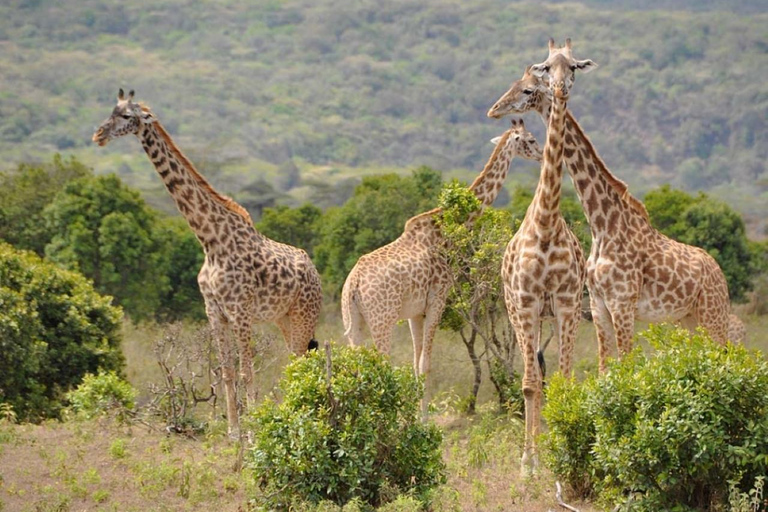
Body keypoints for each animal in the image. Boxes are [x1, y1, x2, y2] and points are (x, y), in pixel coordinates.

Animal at [92, 89, 320, 436]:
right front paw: (234, 432)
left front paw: (253, 430)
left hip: (305, 314)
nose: (99, 135)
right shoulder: (214, 311)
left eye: (128, 116)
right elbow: (226, 372)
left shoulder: (240, 311)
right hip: (283, 318)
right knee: (296, 361)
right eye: (111, 111)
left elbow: (247, 371)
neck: (211, 241)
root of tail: (315, 271)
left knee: (301, 361)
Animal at [340, 117, 544, 412]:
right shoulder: (437, 299)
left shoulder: (415, 312)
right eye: (530, 139)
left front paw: (414, 415)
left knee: (356, 366)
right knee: (379, 365)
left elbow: (416, 364)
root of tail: (353, 285)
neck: (443, 231)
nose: (542, 155)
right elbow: (426, 365)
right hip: (382, 319)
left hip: (353, 321)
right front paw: (421, 419)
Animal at [488, 54, 728, 372]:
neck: (602, 224)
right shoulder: (598, 304)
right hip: (687, 318)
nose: (494, 109)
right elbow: (604, 367)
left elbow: (626, 364)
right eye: (513, 84)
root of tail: (719, 272)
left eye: (527, 90)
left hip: (713, 315)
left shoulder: (622, 302)